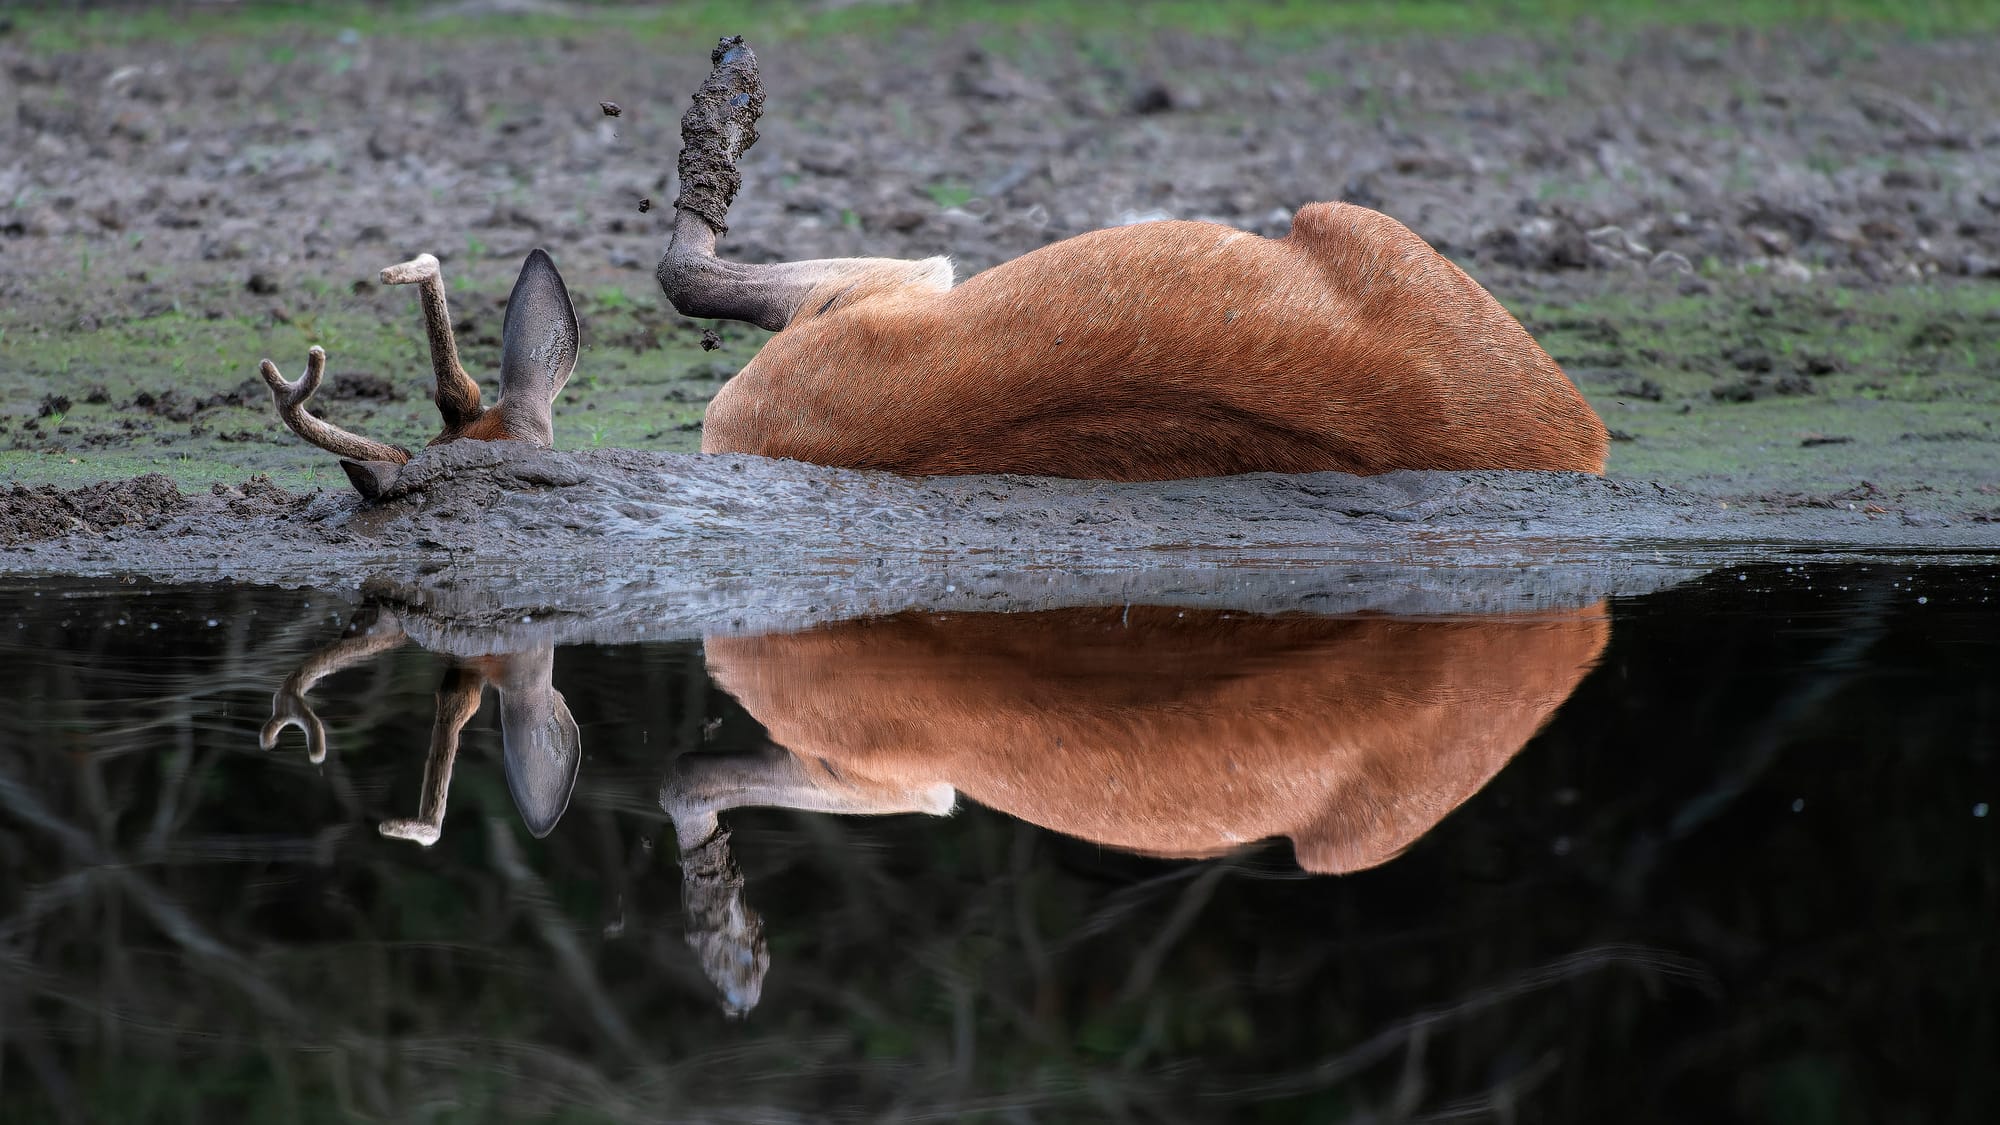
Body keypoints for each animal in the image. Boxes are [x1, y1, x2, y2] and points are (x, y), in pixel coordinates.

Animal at [259, 37, 1607, 499]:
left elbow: (681, 274)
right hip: (1357, 218)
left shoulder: (855, 308)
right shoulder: (868, 302)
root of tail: (1582, 430)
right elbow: (683, 275)